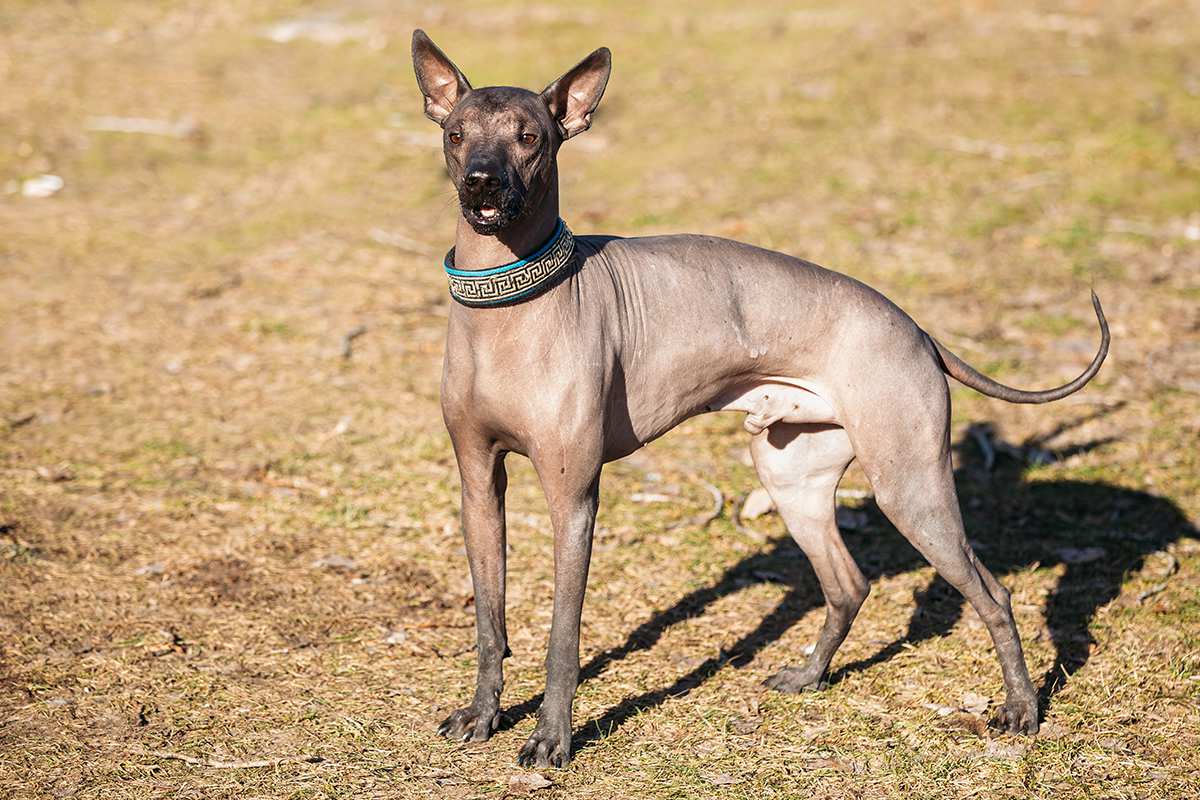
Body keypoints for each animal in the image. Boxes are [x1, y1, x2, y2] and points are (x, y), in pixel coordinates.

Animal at [410, 31, 1104, 767]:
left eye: (529, 138)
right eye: (456, 135)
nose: (482, 180)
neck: (509, 300)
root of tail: (917, 329)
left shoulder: (573, 499)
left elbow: (562, 637)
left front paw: (552, 736)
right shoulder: (478, 485)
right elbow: (490, 620)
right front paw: (483, 714)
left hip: (909, 486)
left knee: (994, 593)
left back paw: (1021, 709)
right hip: (792, 476)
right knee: (848, 584)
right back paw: (809, 676)